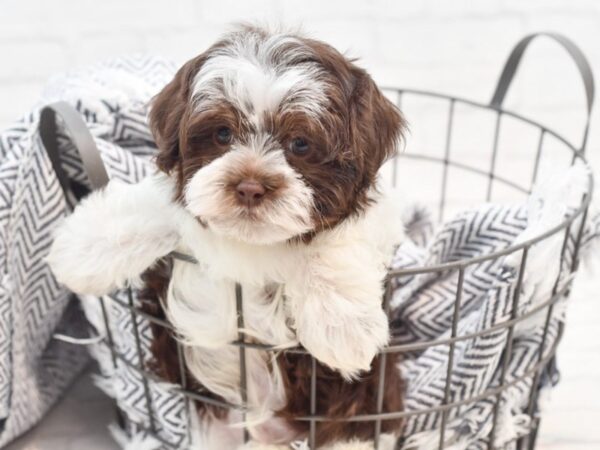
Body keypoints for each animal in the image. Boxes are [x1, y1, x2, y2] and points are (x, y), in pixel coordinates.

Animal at [49, 25, 408, 450]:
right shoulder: (187, 198)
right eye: (222, 134)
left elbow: (336, 240)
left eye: (300, 144)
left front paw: (343, 328)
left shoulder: (375, 218)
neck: (251, 244)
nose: (250, 186)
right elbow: (158, 204)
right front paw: (81, 246)